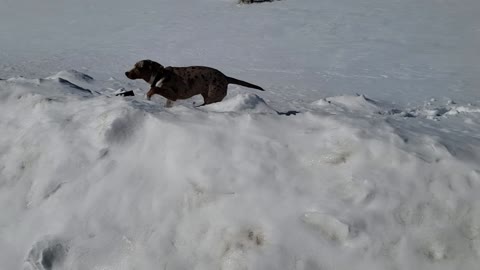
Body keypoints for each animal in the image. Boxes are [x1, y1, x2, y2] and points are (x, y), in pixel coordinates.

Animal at [125, 59, 264, 106]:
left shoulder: (172, 94)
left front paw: (147, 96)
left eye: (138, 67)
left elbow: (154, 89)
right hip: (206, 94)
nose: (126, 73)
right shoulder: (170, 99)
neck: (160, 74)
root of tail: (225, 77)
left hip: (213, 95)